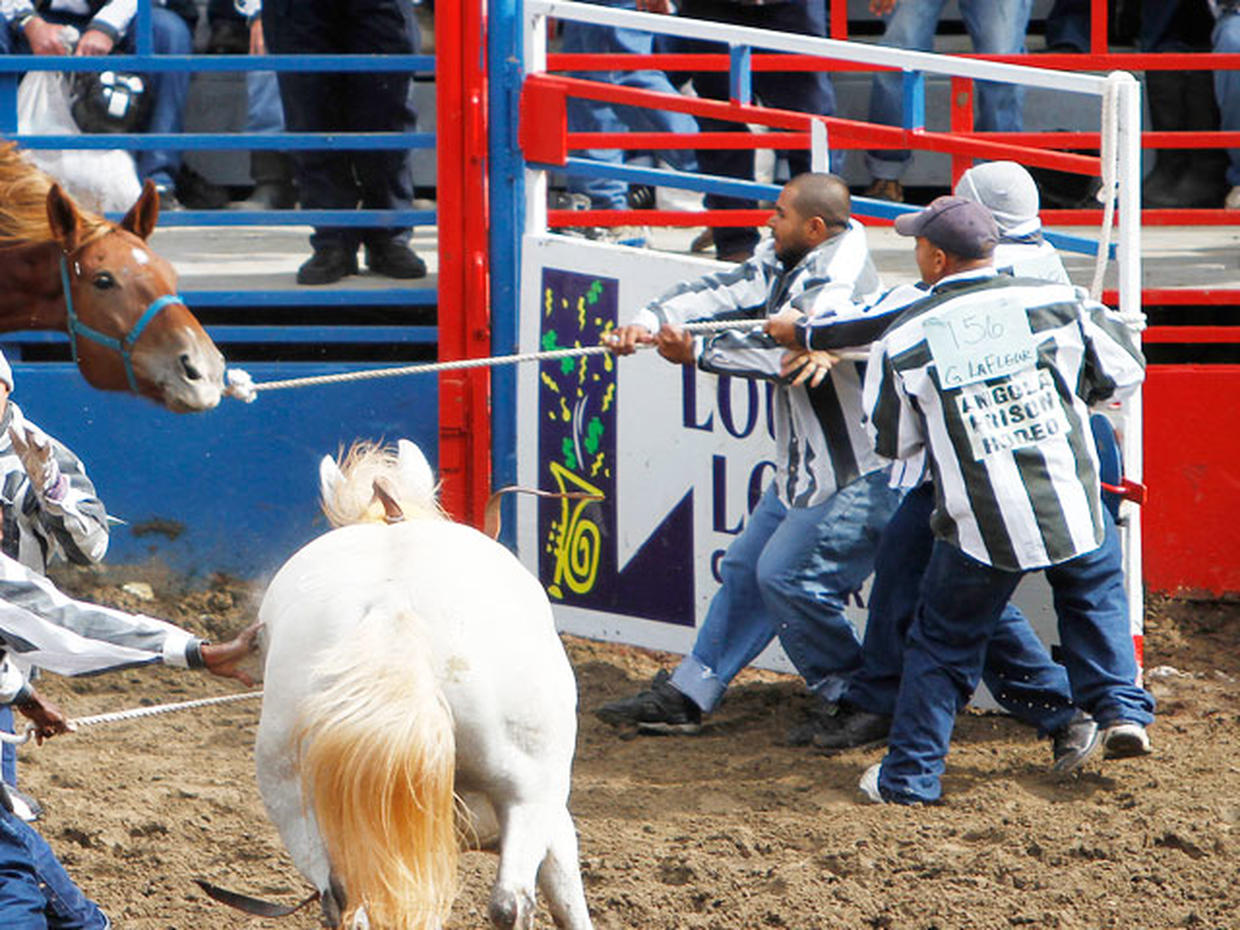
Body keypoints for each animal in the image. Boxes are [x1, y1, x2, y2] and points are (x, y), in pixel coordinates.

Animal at [254, 438, 592, 930]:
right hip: (529, 785)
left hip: (301, 807)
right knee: (510, 902)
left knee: (345, 906)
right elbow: (566, 893)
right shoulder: (553, 820)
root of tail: (391, 606)